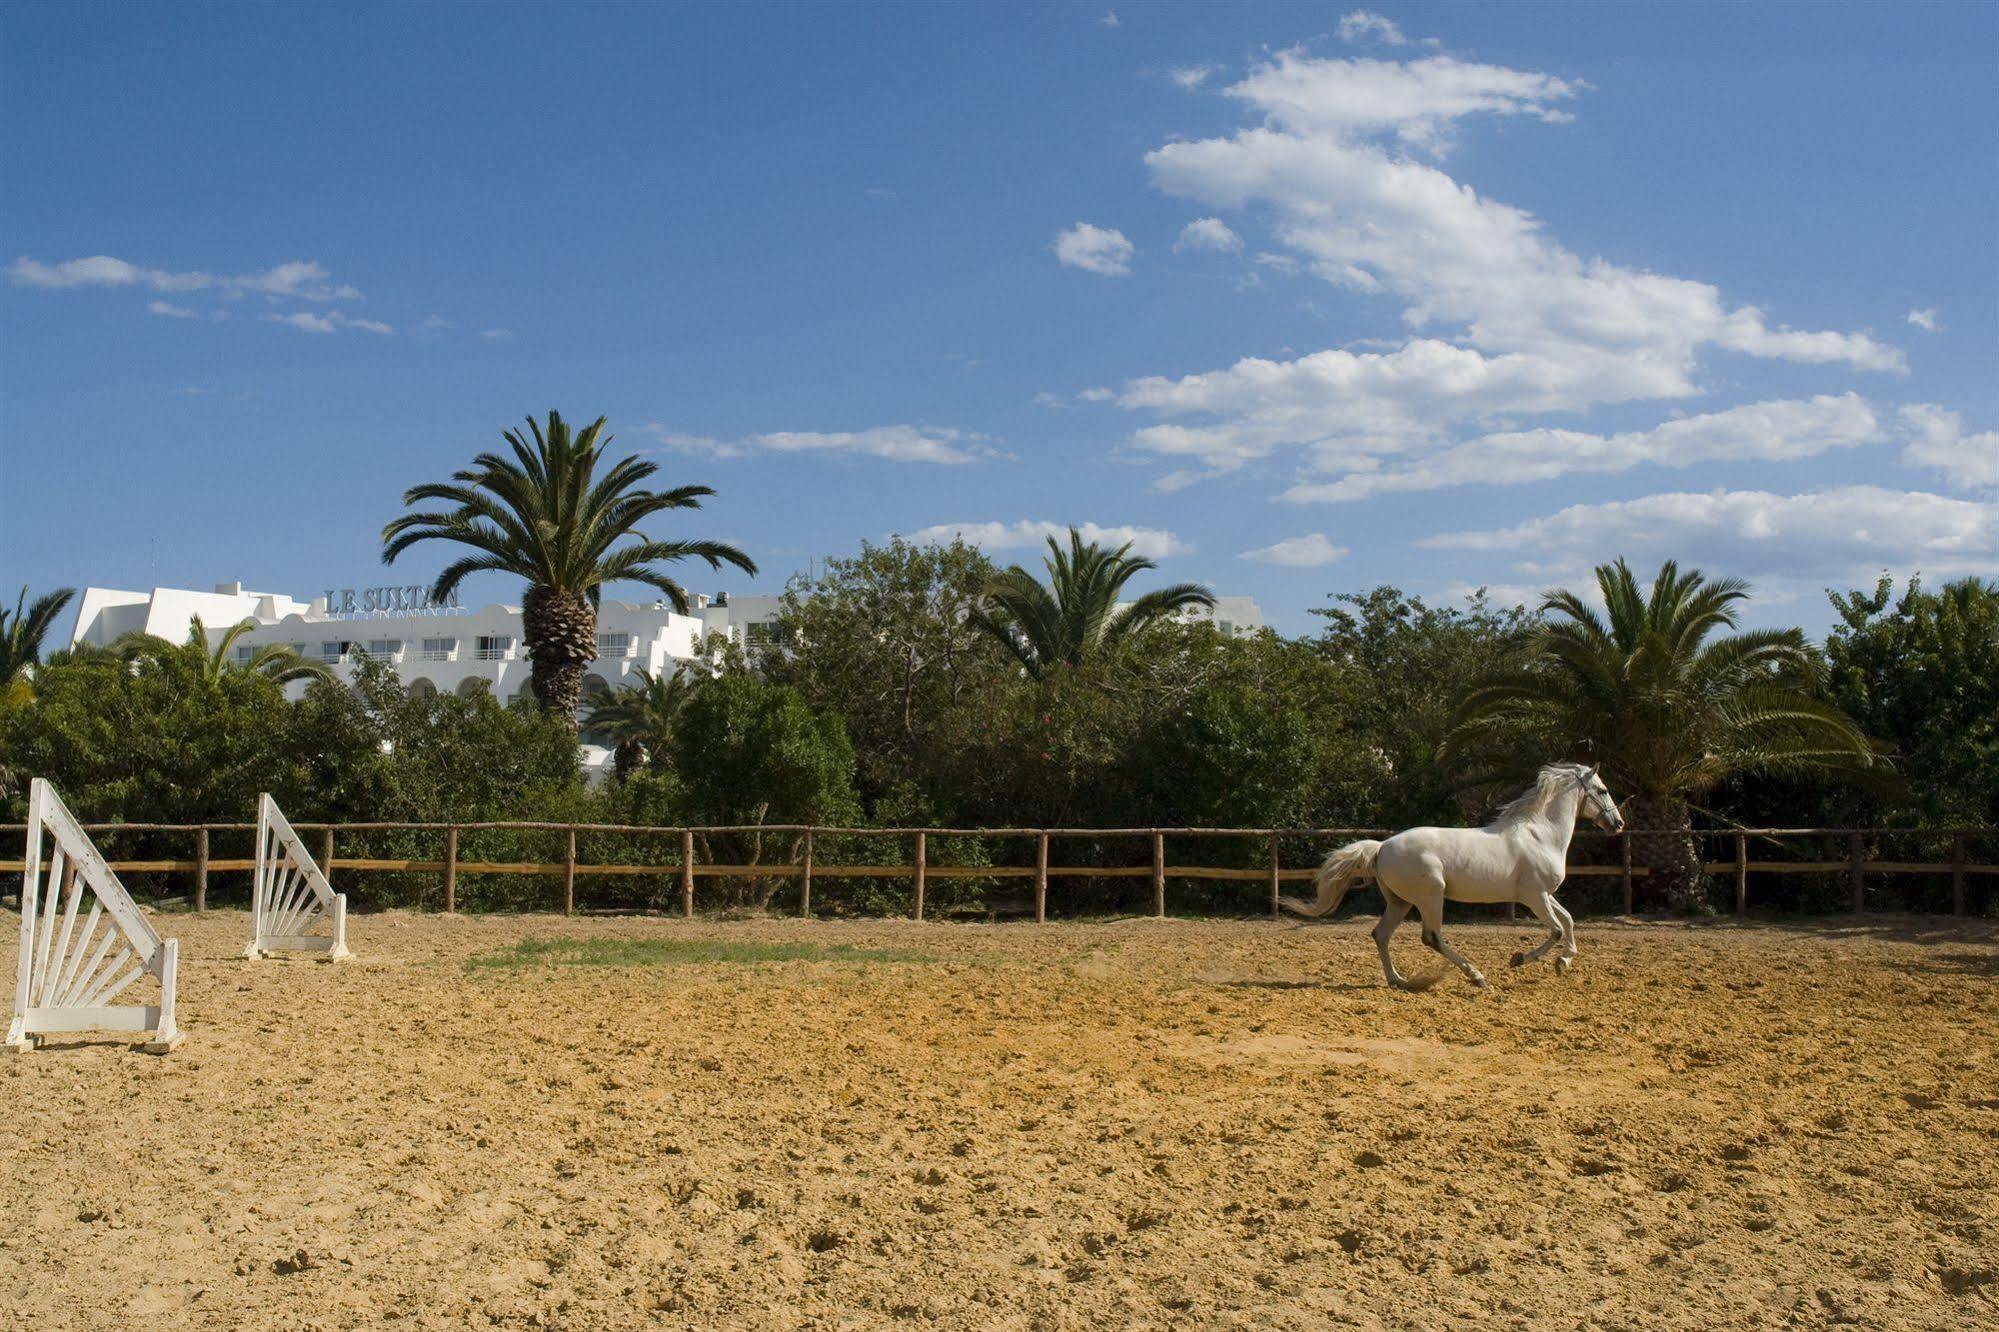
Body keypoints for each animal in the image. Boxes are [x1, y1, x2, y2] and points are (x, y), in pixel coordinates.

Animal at [1279, 756, 1623, 984]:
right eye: (1603, 791)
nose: (1618, 824)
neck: (1541, 834)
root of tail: (1382, 847)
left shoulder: (1544, 894)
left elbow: (1568, 920)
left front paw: (1564, 961)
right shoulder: (1534, 896)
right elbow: (1555, 929)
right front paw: (1519, 959)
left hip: (1400, 902)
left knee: (1381, 934)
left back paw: (1397, 979)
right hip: (1431, 896)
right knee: (1431, 936)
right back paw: (1475, 975)